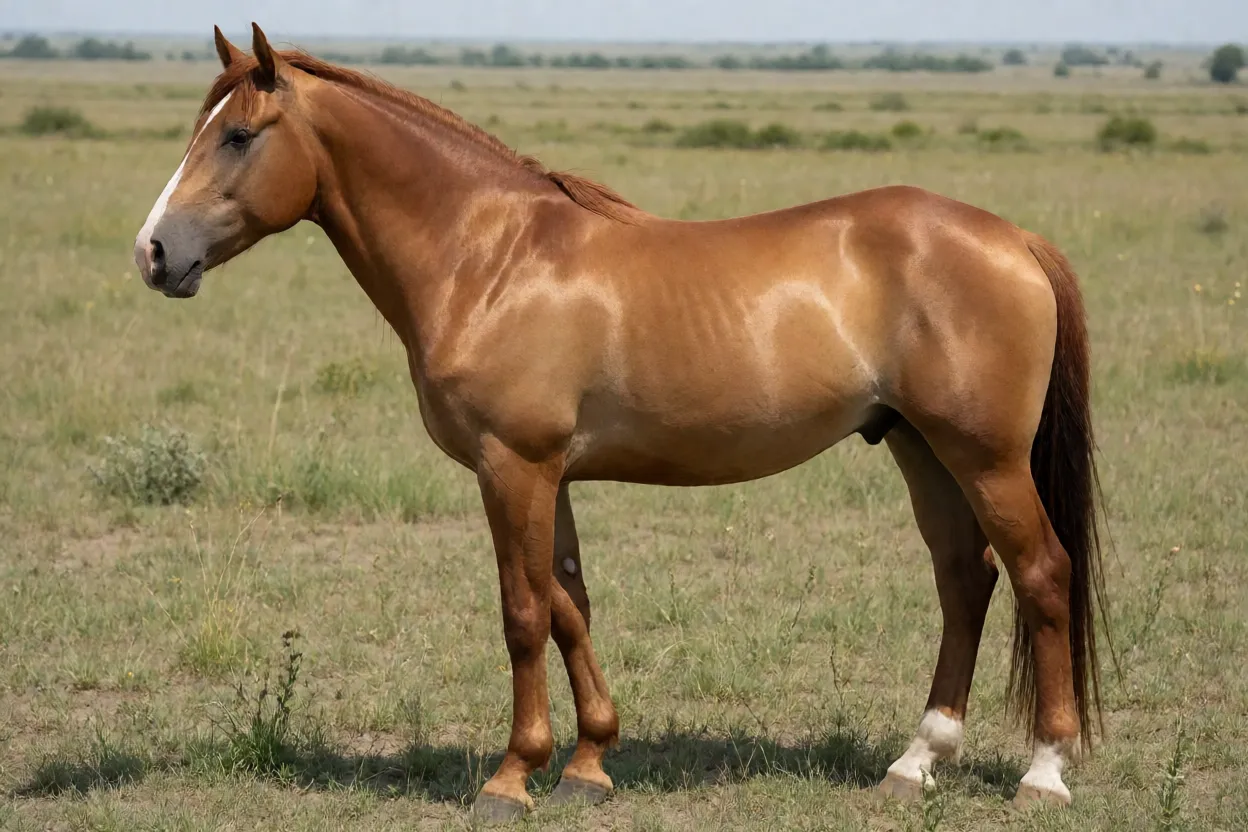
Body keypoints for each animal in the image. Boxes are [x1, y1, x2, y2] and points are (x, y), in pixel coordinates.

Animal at [132, 24, 1110, 821]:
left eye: (238, 136)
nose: (153, 253)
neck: (490, 259)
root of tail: (1016, 239)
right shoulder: (548, 474)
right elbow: (570, 605)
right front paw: (589, 764)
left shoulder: (513, 467)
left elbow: (523, 612)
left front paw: (512, 777)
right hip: (920, 449)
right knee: (965, 581)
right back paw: (915, 763)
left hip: (984, 458)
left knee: (1042, 575)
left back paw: (1044, 773)